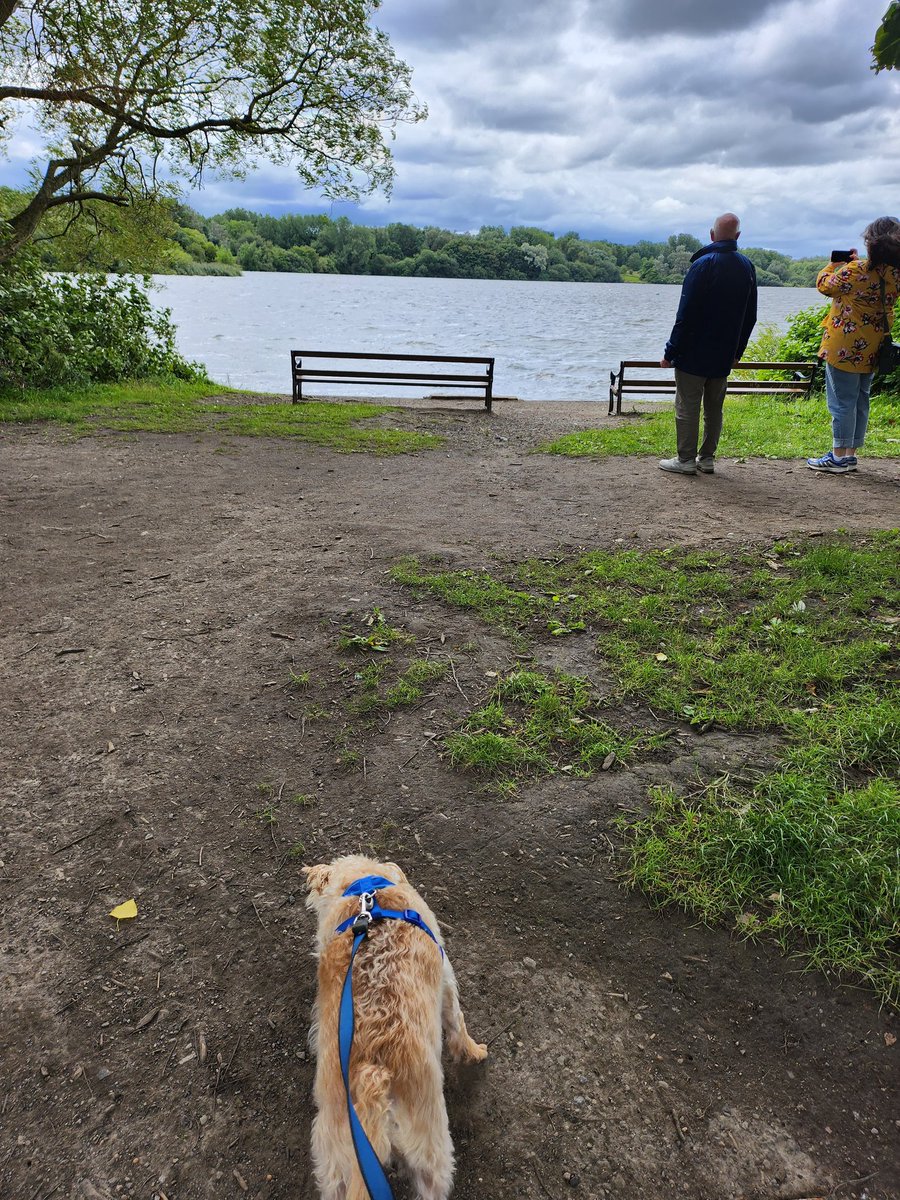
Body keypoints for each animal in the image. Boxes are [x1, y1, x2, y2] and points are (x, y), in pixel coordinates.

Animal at [303, 854, 487, 1200]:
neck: (365, 890)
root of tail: (374, 1077)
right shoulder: (446, 977)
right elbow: (457, 1022)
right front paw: (475, 1052)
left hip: (335, 1163)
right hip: (432, 1153)